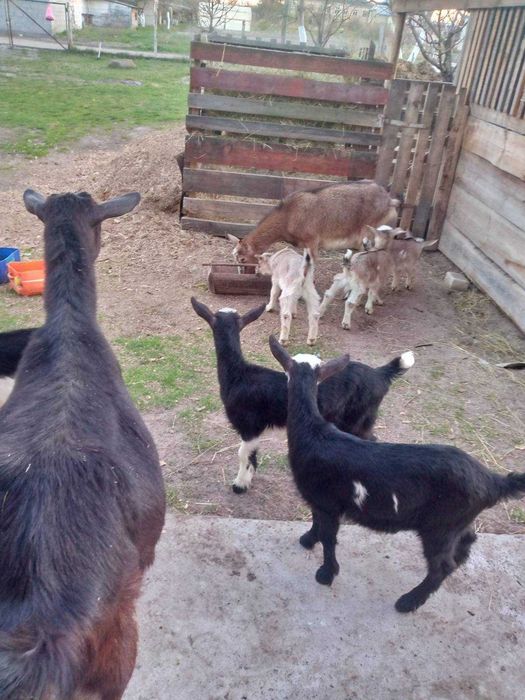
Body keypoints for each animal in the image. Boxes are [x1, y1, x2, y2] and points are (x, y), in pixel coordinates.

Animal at [191, 297, 413, 494]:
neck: (239, 374)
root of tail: (380, 374)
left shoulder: (249, 425)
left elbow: (243, 454)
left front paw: (240, 485)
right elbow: (252, 455)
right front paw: (247, 480)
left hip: (357, 419)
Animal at [269, 335, 525, 613]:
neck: (313, 431)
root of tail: (493, 481)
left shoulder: (328, 503)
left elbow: (328, 537)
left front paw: (326, 574)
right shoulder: (320, 501)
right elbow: (317, 523)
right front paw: (308, 539)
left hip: (440, 526)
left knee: (441, 566)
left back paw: (409, 601)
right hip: (457, 521)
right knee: (466, 541)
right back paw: (458, 561)